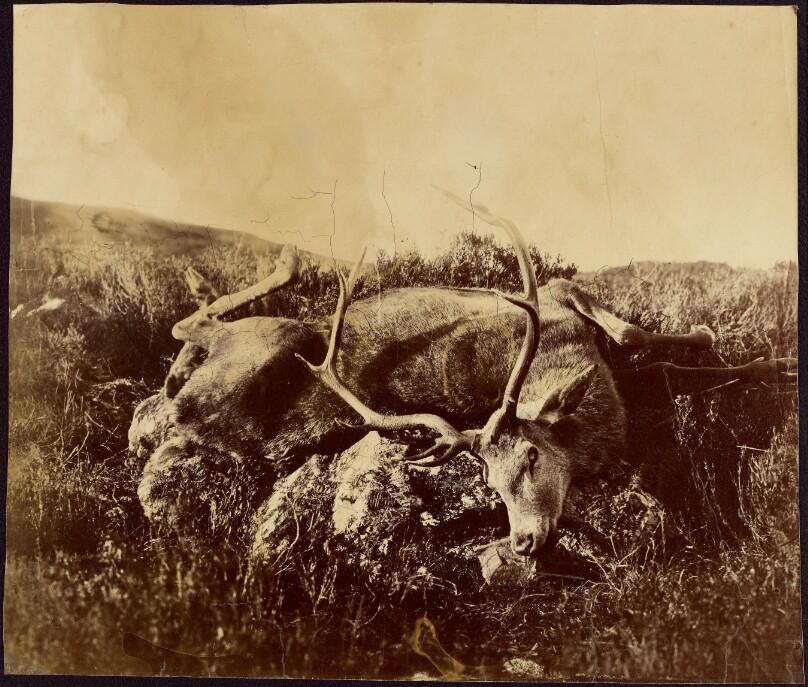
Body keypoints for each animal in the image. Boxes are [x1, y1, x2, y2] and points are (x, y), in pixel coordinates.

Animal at [129, 189, 797, 556]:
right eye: (491, 488)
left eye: (530, 456)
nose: (522, 541)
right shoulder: (565, 303)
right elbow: (650, 347)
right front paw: (759, 356)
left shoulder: (565, 299)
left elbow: (646, 346)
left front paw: (752, 354)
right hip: (275, 340)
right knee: (193, 332)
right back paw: (270, 269)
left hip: (265, 342)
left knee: (188, 335)